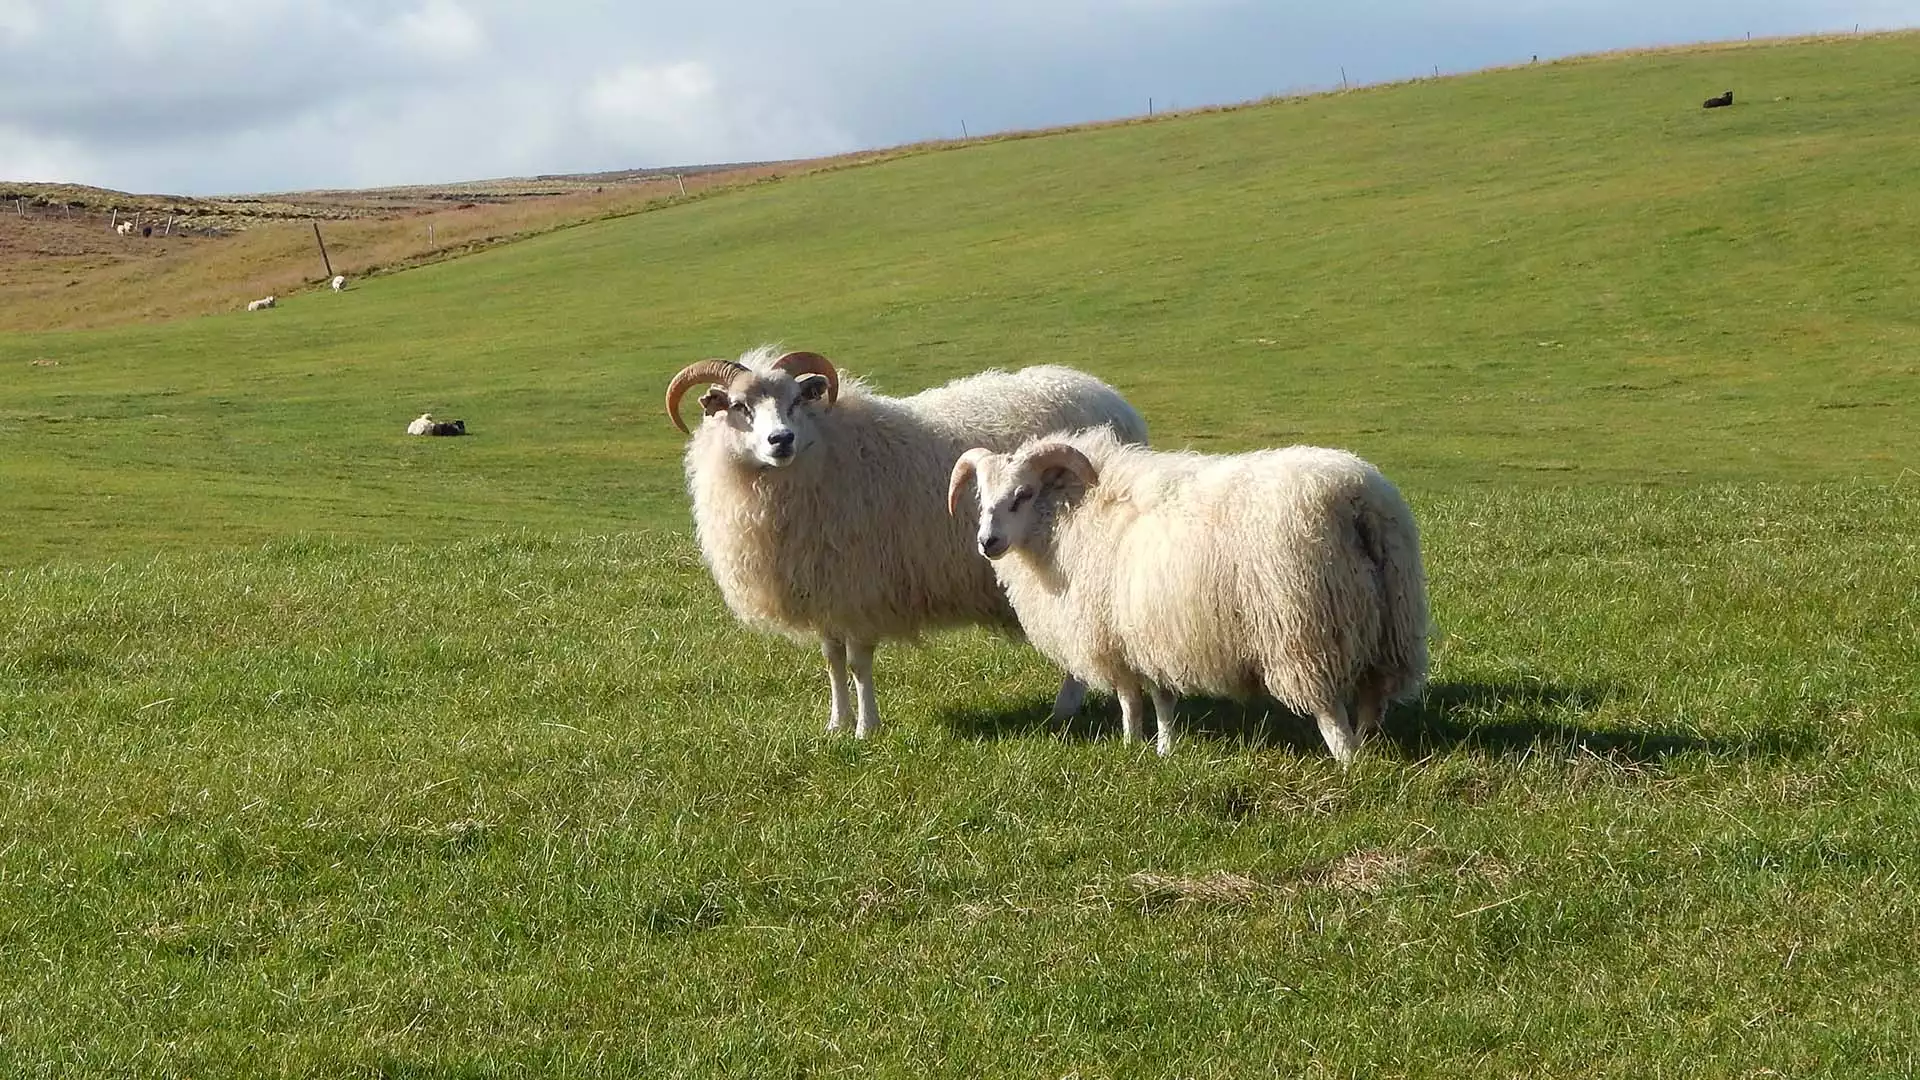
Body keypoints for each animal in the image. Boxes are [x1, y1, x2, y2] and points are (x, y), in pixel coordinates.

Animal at [668, 343, 1144, 730]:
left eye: (796, 400)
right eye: (738, 406)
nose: (780, 439)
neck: (824, 452)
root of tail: (1113, 399)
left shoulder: (859, 589)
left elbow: (858, 665)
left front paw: (866, 728)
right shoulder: (826, 590)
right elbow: (832, 662)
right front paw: (836, 724)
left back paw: (1065, 708)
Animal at [952, 424, 1436, 760]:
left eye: (1023, 494)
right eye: (981, 498)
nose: (987, 542)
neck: (1074, 513)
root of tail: (1357, 502)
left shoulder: (1114, 637)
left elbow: (1131, 701)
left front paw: (1130, 747)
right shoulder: (1151, 635)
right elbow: (1162, 698)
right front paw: (1165, 750)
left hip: (1303, 633)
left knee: (1330, 712)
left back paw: (1348, 762)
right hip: (1390, 626)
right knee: (1374, 700)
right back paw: (1371, 750)